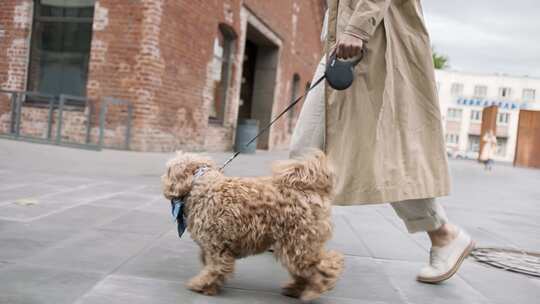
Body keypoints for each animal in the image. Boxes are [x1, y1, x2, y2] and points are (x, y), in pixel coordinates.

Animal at [162, 150, 344, 302]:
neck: (200, 182)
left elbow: (215, 267)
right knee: (305, 271)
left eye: (168, 170)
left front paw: (201, 284)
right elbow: (212, 265)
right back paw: (296, 289)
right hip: (294, 245)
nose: (163, 180)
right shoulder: (213, 247)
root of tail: (310, 190)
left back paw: (316, 288)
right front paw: (210, 286)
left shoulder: (216, 245)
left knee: (328, 264)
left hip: (299, 243)